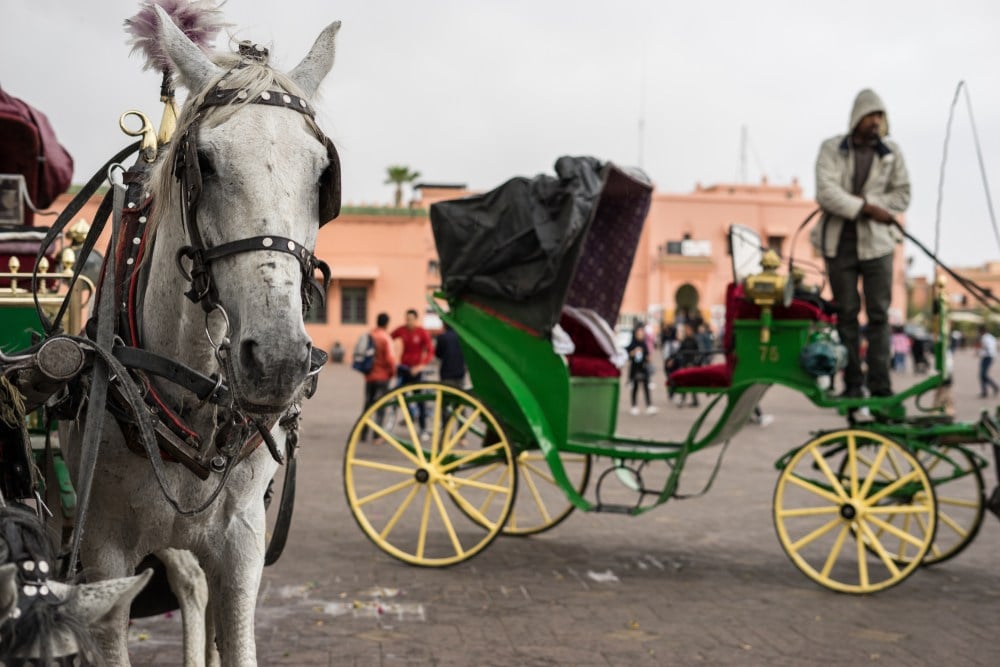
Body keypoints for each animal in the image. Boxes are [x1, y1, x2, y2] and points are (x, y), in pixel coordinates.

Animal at [64, 7, 344, 664]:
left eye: (323, 174)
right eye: (206, 164)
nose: (277, 359)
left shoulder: (241, 545)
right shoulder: (101, 550)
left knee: (192, 586)